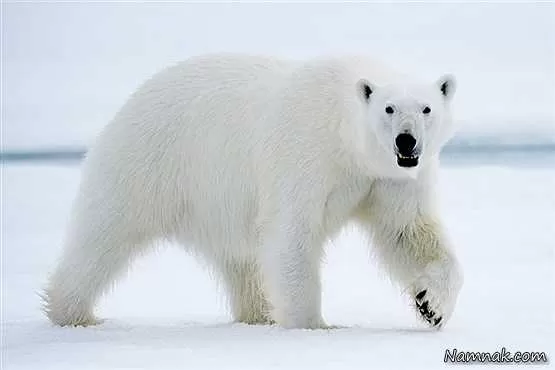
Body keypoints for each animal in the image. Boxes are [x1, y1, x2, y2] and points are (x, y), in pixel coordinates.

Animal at [44, 53, 464, 328]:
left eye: (426, 108)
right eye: (389, 109)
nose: (406, 141)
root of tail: (133, 99)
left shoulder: (390, 179)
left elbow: (407, 232)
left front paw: (431, 305)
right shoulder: (305, 155)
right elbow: (292, 236)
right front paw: (313, 325)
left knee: (242, 260)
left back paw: (258, 314)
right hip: (149, 163)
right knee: (104, 236)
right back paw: (73, 313)